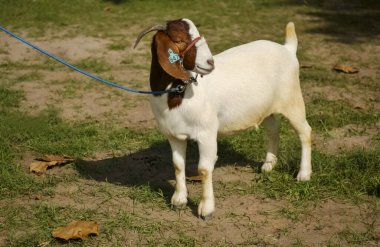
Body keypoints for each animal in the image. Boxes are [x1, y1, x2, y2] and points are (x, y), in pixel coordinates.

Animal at [134, 19, 312, 220]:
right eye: (179, 40)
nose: (210, 62)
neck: (178, 93)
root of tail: (288, 49)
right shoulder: (174, 134)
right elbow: (178, 165)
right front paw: (179, 200)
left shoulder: (206, 133)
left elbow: (204, 169)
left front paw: (206, 209)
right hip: (264, 107)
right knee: (273, 129)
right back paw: (268, 165)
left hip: (293, 100)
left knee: (305, 132)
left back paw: (304, 174)